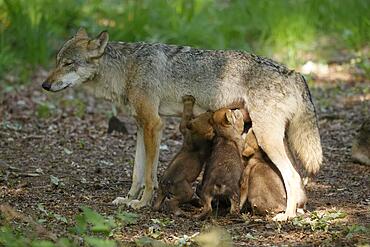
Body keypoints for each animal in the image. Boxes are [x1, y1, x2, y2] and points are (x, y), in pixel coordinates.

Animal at [42, 28, 322, 221]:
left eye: (68, 64)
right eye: (56, 62)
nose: (45, 85)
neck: (127, 69)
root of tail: (295, 73)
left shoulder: (154, 125)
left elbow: (149, 176)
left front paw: (142, 204)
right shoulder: (140, 127)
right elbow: (136, 173)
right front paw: (128, 199)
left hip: (267, 139)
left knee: (294, 176)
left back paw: (287, 216)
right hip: (273, 139)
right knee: (297, 179)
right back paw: (297, 210)